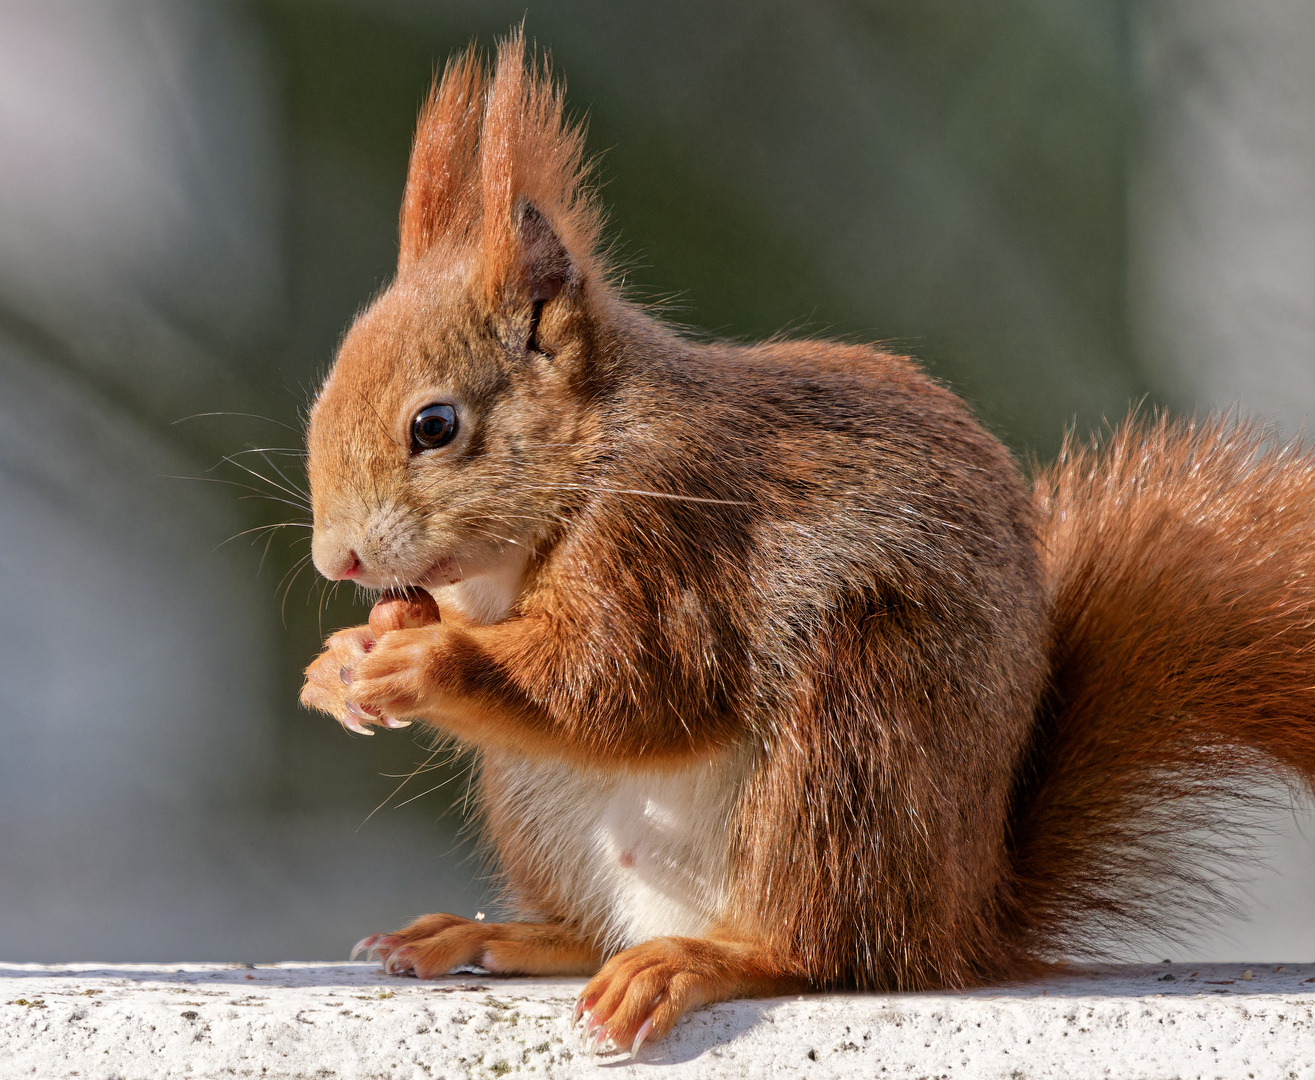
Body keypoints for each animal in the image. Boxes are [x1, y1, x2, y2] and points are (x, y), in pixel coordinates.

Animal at [298, 31, 1315, 1052]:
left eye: (434, 426)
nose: (335, 560)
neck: (588, 461)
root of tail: (962, 922)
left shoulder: (672, 534)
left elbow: (634, 682)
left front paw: (427, 660)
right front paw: (338, 661)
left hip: (848, 743)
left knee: (820, 947)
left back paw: (703, 958)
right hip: (539, 800)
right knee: (592, 931)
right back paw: (496, 932)